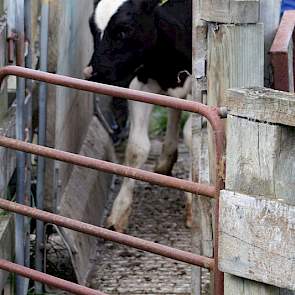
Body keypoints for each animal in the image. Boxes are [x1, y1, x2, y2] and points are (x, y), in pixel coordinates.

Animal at [84, 0, 193, 232]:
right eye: (92, 27)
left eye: (124, 30)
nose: (92, 73)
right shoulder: (141, 82)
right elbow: (137, 148)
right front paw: (118, 213)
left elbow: (194, 138)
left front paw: (193, 204)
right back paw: (165, 160)